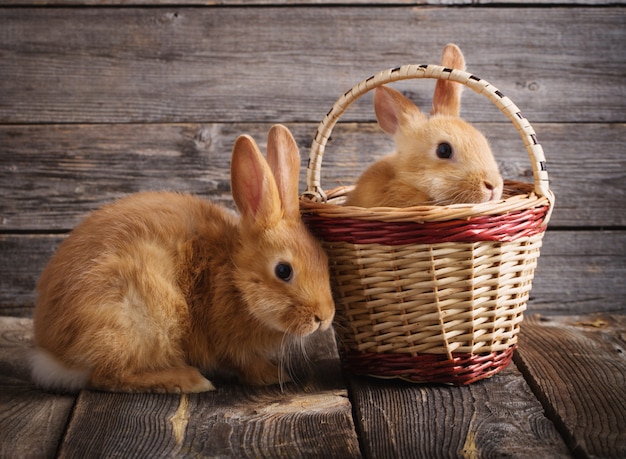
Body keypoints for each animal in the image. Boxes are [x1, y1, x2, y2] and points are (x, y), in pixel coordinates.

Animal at [31, 124, 334, 394]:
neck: (235, 277)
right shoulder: (227, 341)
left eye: (323, 257)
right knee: (107, 376)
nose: (324, 317)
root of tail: (51, 352)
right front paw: (270, 375)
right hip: (137, 319)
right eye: (283, 270)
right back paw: (187, 380)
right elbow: (244, 362)